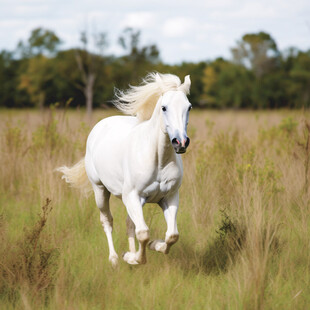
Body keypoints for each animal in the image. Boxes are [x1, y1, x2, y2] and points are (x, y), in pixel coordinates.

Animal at [56, 72, 190, 266]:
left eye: (189, 107)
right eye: (164, 108)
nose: (180, 142)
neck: (158, 160)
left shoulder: (169, 197)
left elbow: (172, 235)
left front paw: (153, 245)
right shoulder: (133, 196)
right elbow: (143, 233)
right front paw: (131, 258)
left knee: (130, 224)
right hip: (100, 191)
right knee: (107, 221)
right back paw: (113, 259)